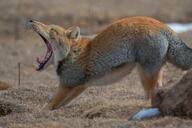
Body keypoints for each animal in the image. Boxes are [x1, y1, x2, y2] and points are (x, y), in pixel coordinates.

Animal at [26, 16, 192, 110]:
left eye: (52, 29)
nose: (31, 20)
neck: (72, 53)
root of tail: (163, 25)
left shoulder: (67, 84)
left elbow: (50, 105)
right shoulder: (80, 86)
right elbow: (58, 105)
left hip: (146, 75)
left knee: (152, 92)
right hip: (148, 73)